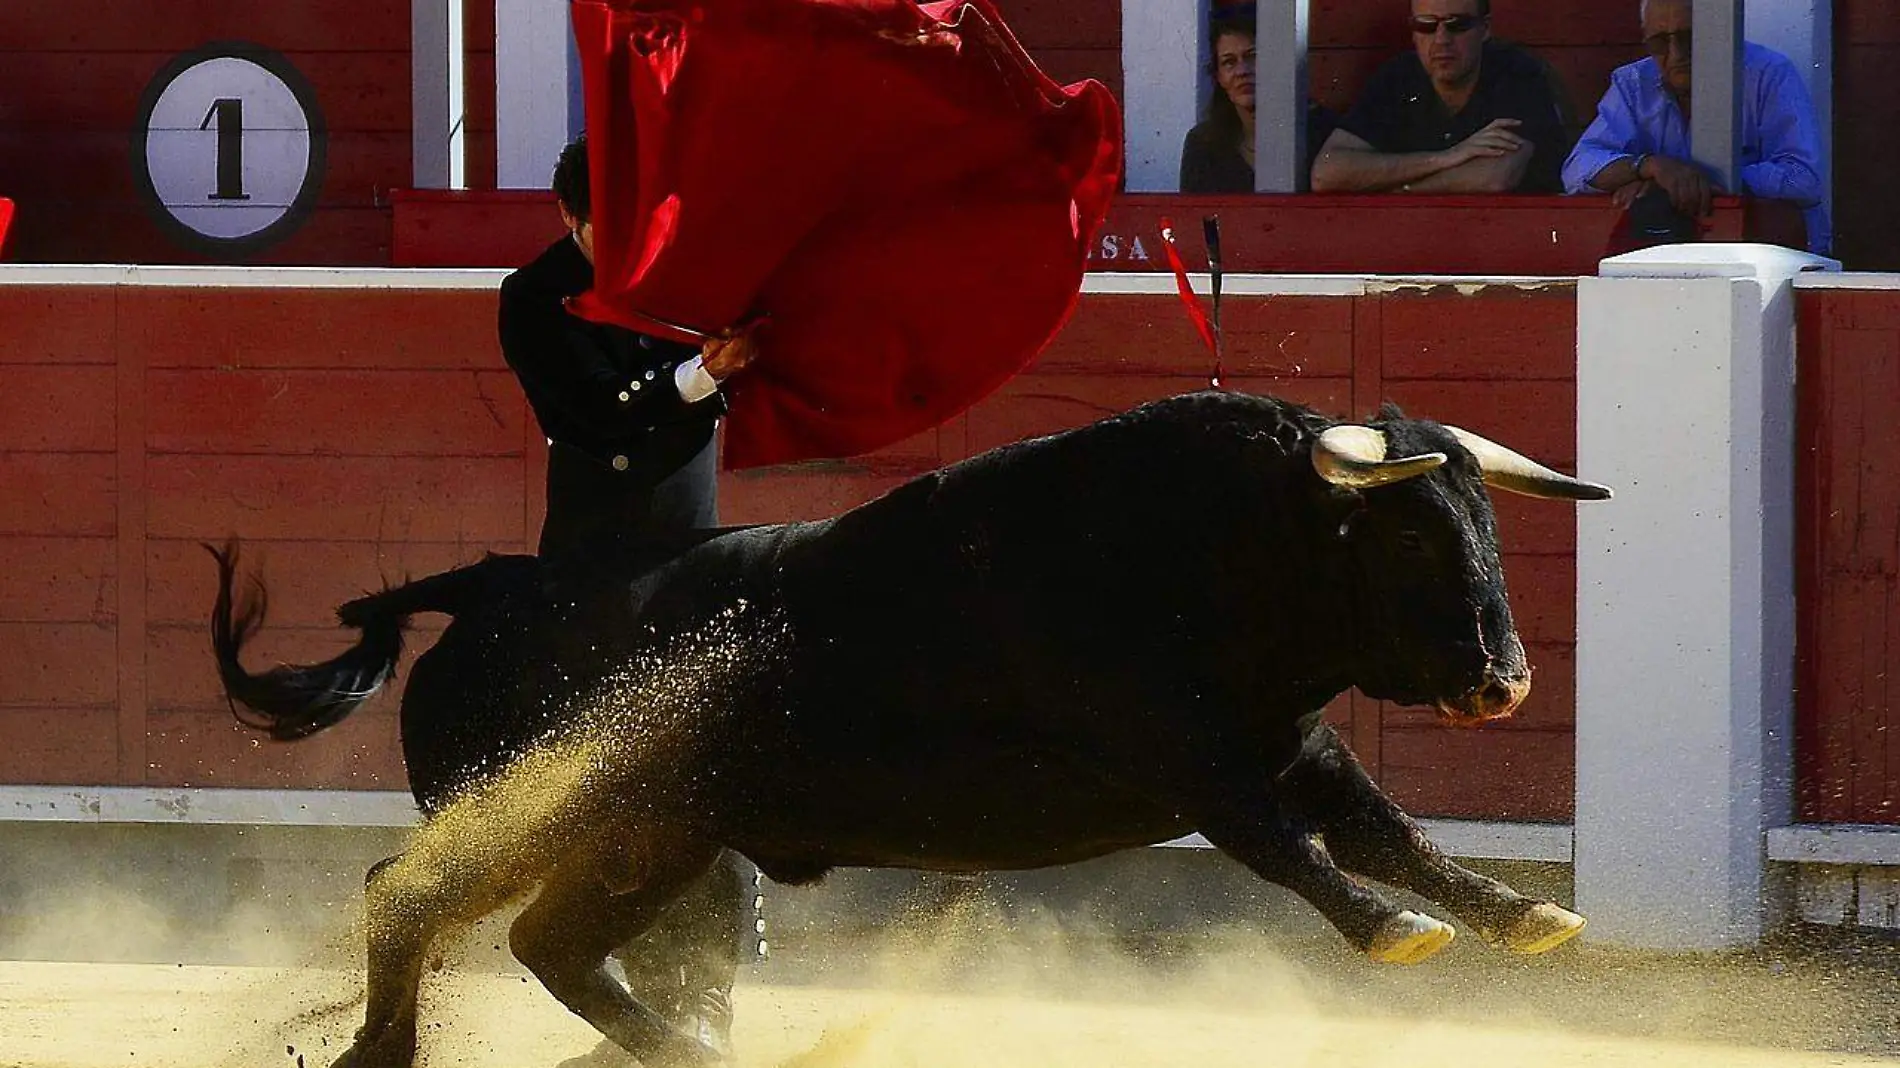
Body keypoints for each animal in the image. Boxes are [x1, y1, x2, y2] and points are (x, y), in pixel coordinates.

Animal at [204, 393, 1603, 1064]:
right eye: (1410, 536)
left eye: (1489, 520)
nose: (1505, 682)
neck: (1205, 542)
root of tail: (495, 587)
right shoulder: (1189, 757)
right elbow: (1288, 848)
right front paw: (1397, 934)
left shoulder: (1289, 742)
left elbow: (1388, 831)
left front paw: (1523, 915)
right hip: (562, 811)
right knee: (411, 895)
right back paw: (390, 1057)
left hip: (652, 835)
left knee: (547, 942)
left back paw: (687, 1056)